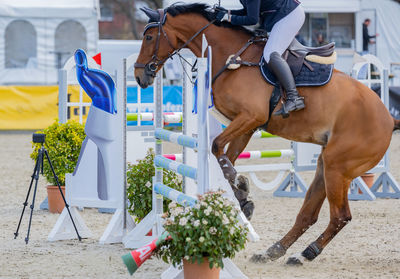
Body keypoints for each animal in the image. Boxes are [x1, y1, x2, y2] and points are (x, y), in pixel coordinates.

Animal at [134, 3, 400, 266]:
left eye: (149, 37)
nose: (140, 77)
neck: (232, 56)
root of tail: (388, 118)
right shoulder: (247, 124)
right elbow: (225, 156)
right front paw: (242, 197)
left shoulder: (251, 117)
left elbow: (216, 146)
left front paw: (241, 187)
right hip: (326, 164)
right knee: (308, 215)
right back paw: (274, 251)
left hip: (338, 167)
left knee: (340, 216)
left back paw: (306, 252)